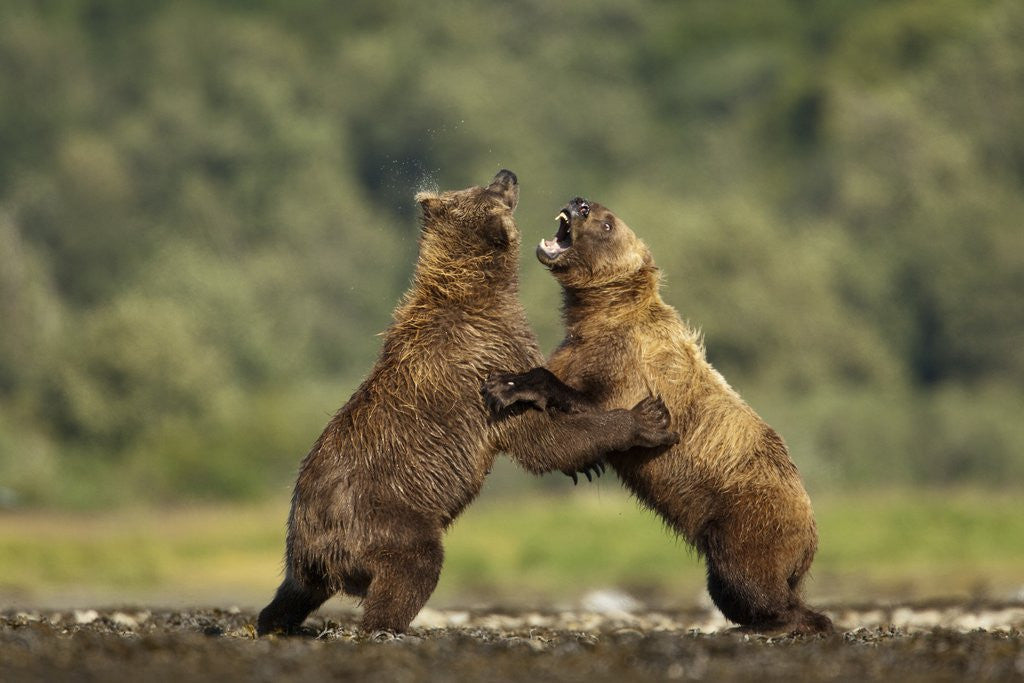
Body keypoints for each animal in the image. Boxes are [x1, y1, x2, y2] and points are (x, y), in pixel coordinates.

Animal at [256, 174, 678, 636]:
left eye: (478, 184)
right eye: (491, 191)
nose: (507, 173)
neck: (476, 289)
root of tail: (319, 549)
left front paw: (588, 465)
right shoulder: (489, 365)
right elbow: (538, 439)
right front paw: (643, 420)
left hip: (305, 546)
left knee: (293, 592)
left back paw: (274, 621)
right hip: (384, 519)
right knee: (413, 567)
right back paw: (388, 625)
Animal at [483, 196, 833, 635]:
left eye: (608, 224)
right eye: (597, 211)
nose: (580, 203)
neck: (601, 314)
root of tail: (812, 536)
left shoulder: (633, 367)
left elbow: (599, 405)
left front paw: (507, 386)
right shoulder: (580, 349)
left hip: (750, 516)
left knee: (746, 577)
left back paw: (779, 621)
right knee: (728, 586)